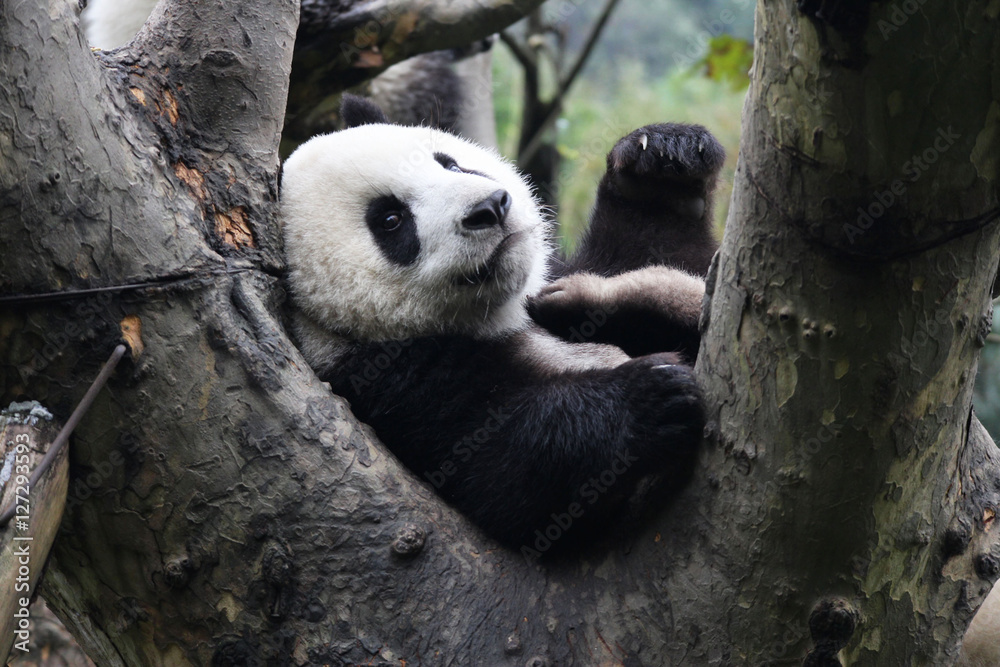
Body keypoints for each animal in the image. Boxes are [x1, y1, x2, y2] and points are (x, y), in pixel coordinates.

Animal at [281, 95, 722, 550]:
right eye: (390, 219)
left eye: (451, 164)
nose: (490, 207)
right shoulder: (387, 387)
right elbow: (504, 473)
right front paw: (648, 398)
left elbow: (663, 252)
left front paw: (660, 163)